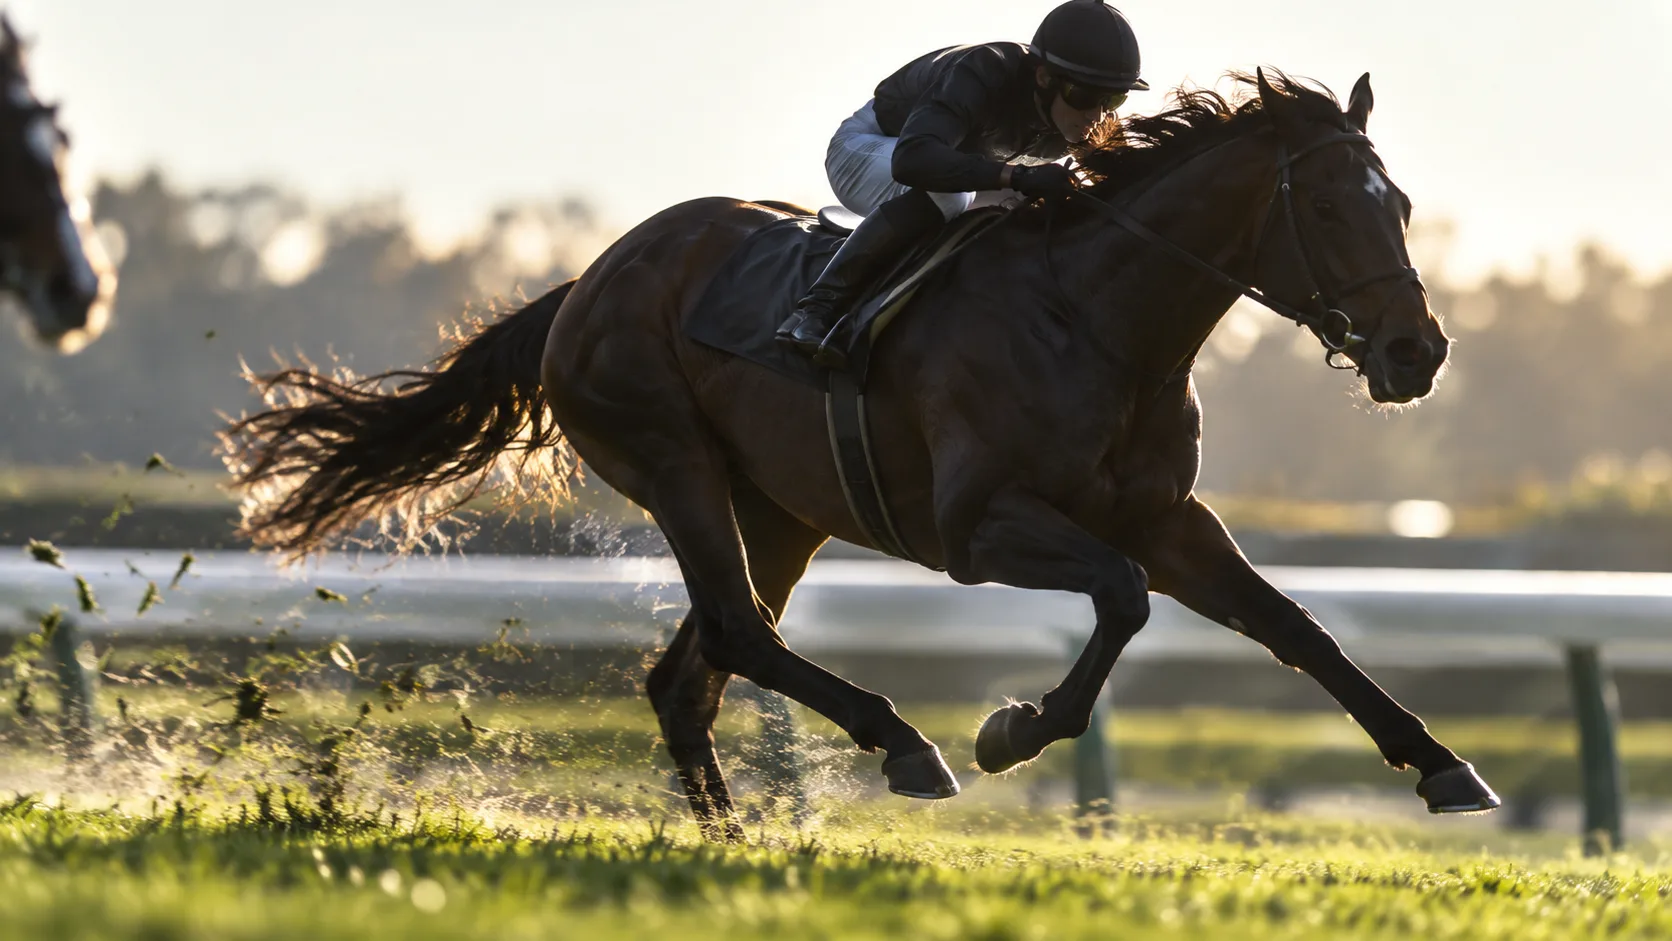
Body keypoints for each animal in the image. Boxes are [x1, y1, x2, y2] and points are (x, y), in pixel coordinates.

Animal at [221, 69, 1500, 840]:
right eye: (1330, 209)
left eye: (1398, 204)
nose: (1415, 351)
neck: (1096, 319)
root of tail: (587, 278)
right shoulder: (979, 525)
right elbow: (1123, 597)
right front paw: (1007, 727)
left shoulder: (1165, 517)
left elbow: (1295, 627)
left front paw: (1442, 763)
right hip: (675, 463)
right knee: (738, 635)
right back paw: (904, 744)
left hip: (781, 509)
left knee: (692, 669)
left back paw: (733, 836)